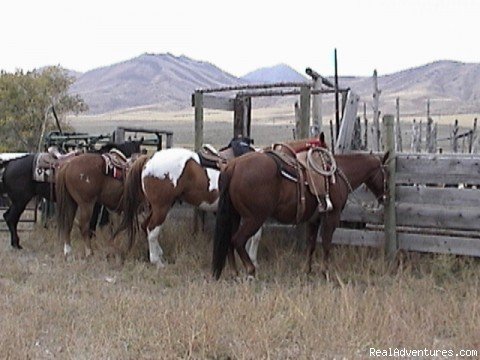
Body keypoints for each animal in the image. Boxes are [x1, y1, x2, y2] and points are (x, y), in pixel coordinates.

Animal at [212, 150, 388, 280]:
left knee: (229, 240)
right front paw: (325, 272)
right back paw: (250, 270)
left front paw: (307, 270)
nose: (385, 197)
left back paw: (234, 273)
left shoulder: (314, 220)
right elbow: (326, 243)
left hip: (235, 216)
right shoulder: (332, 216)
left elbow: (311, 244)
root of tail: (233, 166)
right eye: (386, 173)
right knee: (237, 240)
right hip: (254, 219)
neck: (337, 176)